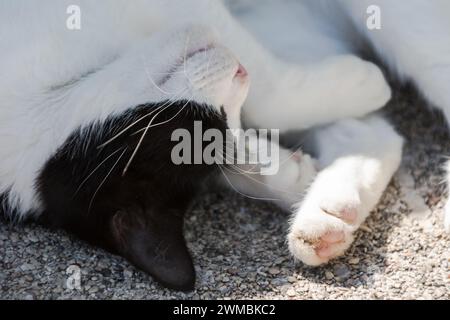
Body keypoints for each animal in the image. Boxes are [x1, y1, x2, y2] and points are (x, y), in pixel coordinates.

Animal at [0, 0, 448, 292]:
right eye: (204, 120)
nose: (238, 73)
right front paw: (284, 172)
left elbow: (263, 93)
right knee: (375, 134)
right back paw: (329, 216)